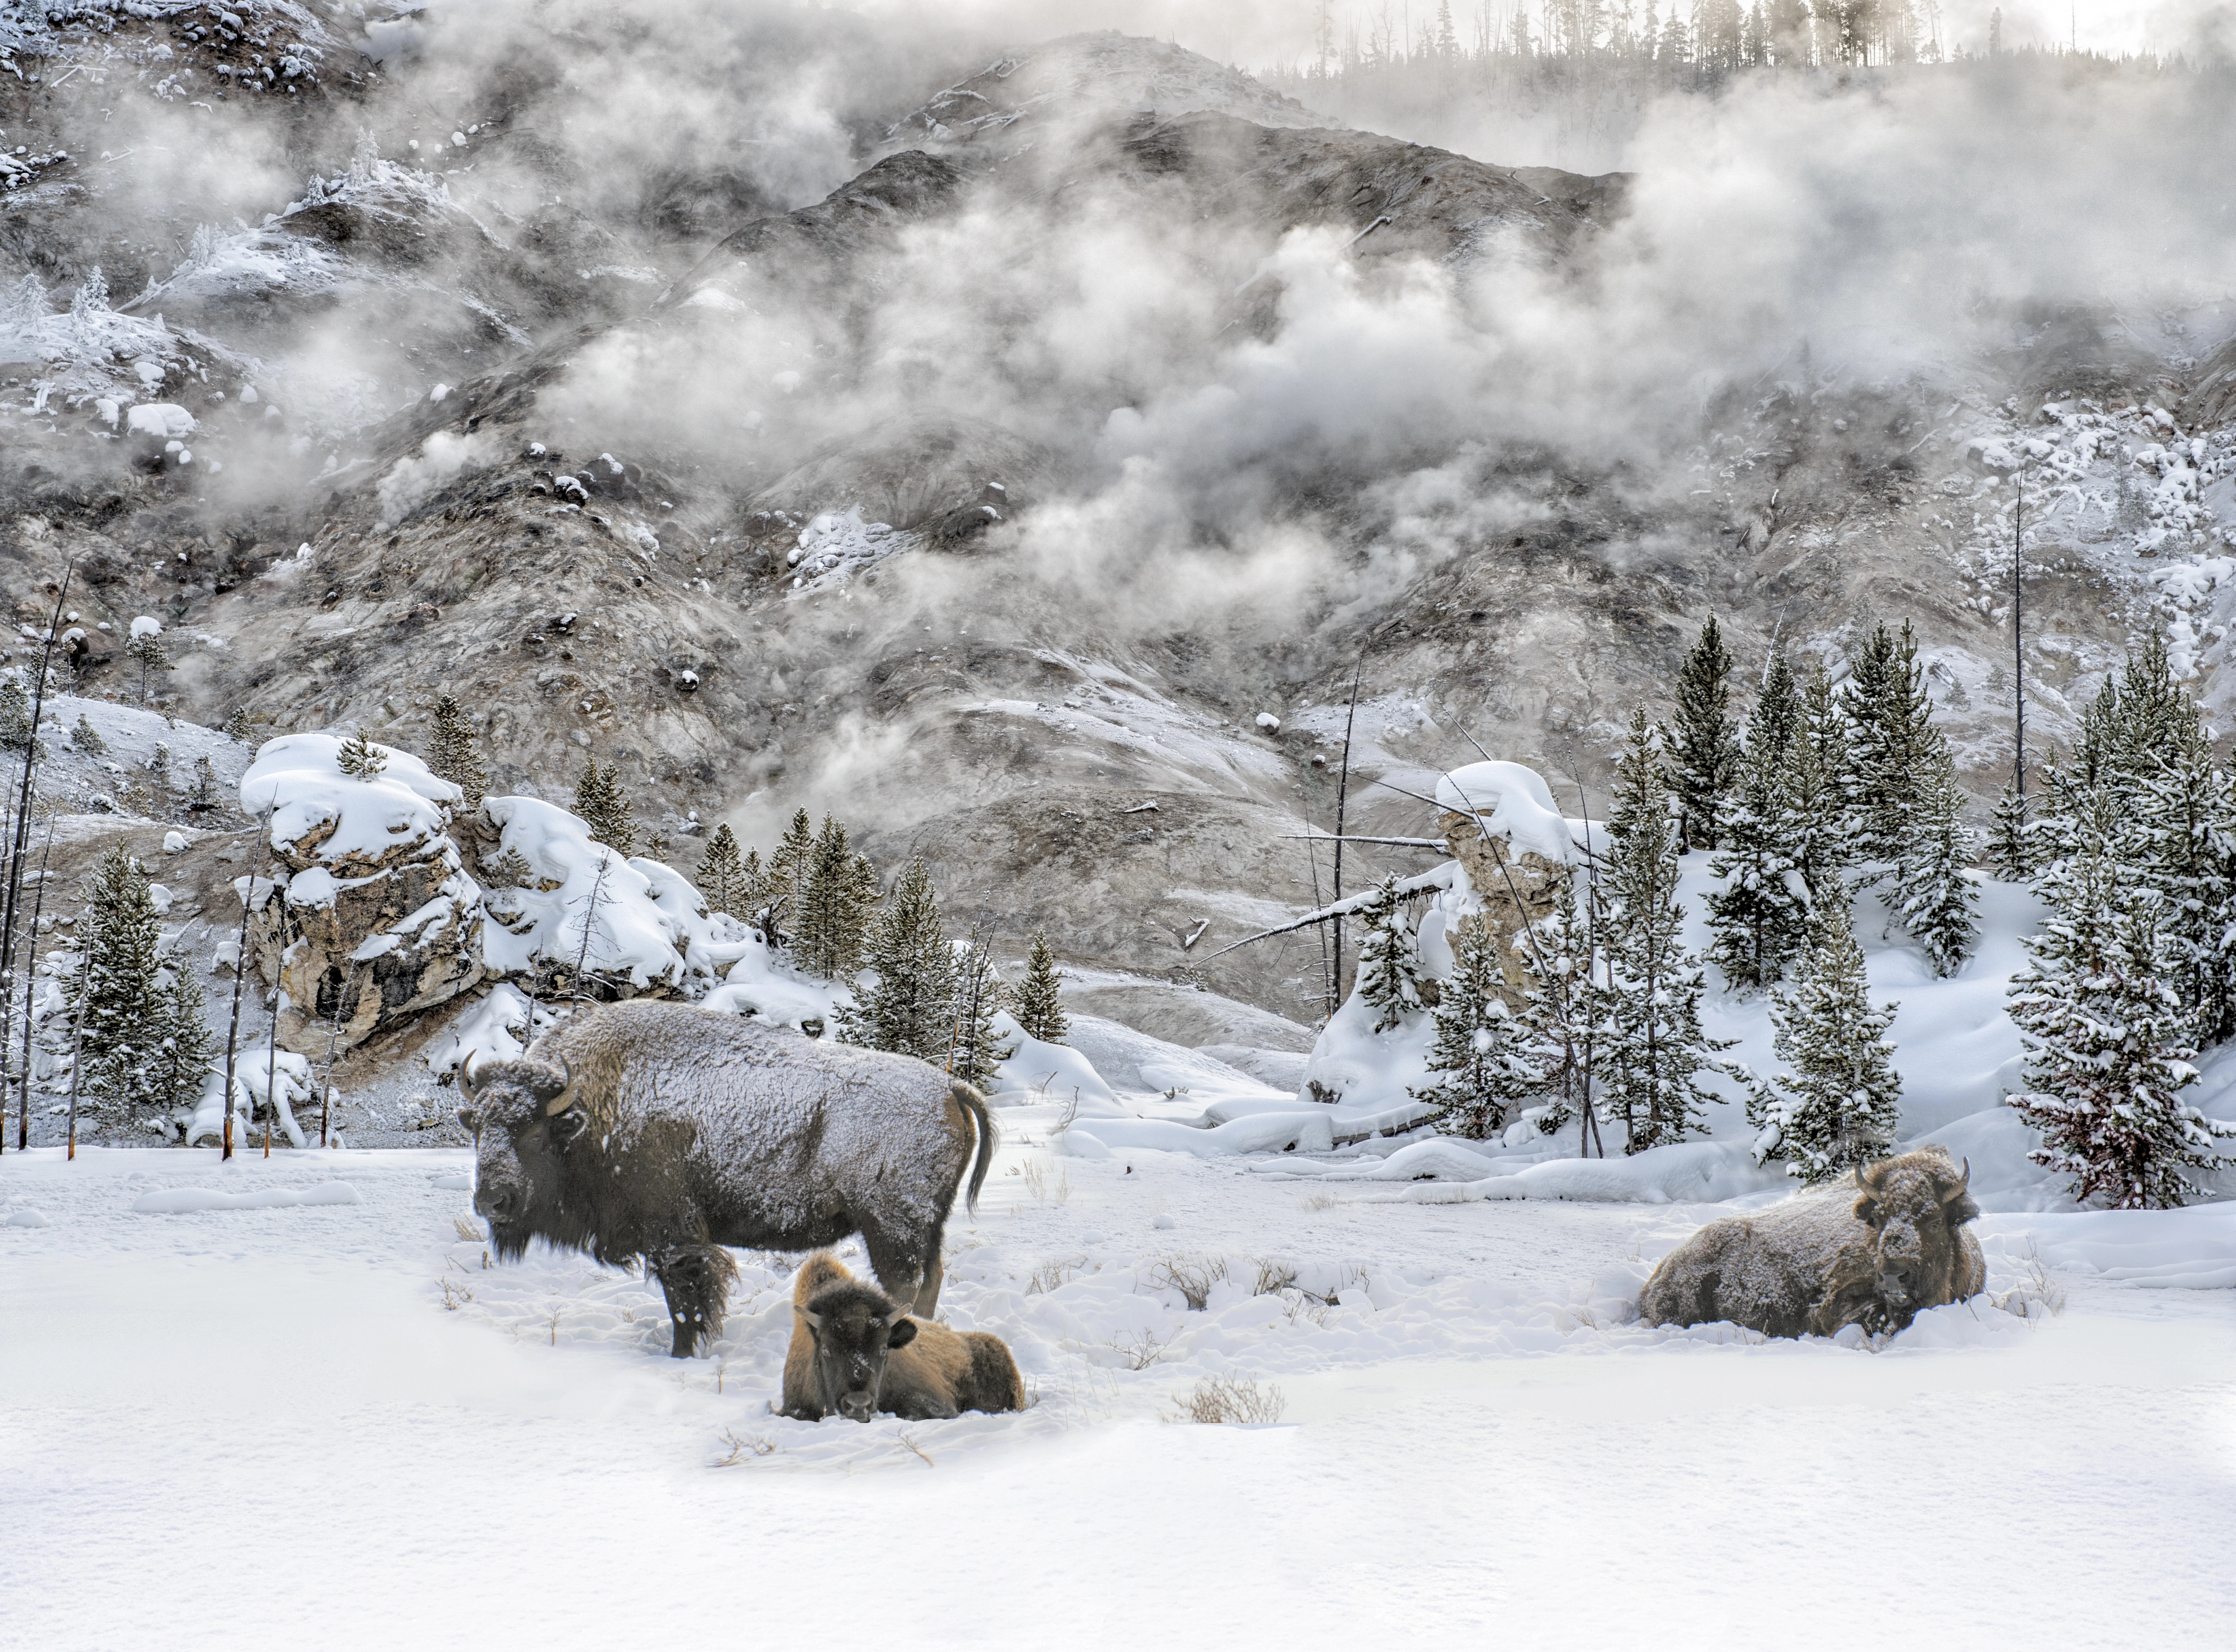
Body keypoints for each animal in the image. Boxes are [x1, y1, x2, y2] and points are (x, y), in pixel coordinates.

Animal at [459, 1001, 994, 1357]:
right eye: (478, 1128)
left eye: (533, 1132)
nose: (492, 1201)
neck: (592, 1113)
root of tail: (949, 1085)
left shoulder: (675, 1243)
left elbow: (687, 1304)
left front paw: (682, 1355)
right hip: (924, 1225)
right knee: (930, 1280)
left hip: (889, 1227)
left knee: (903, 1286)